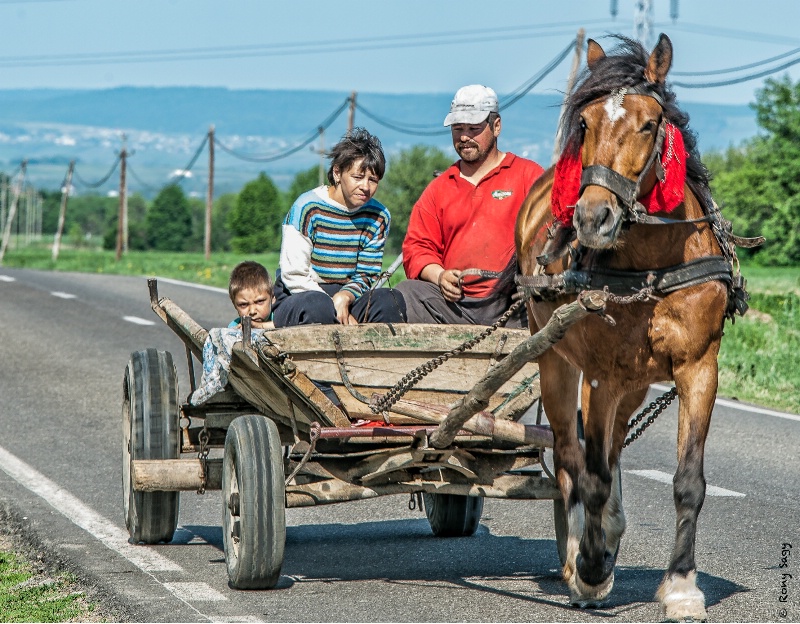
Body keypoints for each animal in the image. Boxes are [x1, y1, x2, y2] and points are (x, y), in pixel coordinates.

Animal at [512, 35, 744, 624]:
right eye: (586, 121)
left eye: (648, 123)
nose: (592, 218)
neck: (655, 264)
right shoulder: (600, 374)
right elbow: (591, 475)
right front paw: (592, 568)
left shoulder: (699, 368)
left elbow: (688, 481)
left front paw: (681, 586)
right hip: (555, 361)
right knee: (572, 458)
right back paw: (580, 556)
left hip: (635, 382)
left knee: (611, 448)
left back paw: (609, 534)